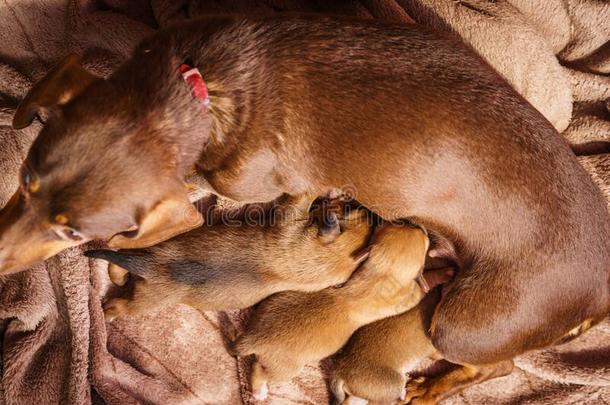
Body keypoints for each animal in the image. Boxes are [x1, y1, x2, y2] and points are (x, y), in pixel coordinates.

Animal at [85, 194, 370, 320]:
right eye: (350, 208)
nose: (369, 211)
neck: (323, 259)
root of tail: (153, 266)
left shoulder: (289, 220)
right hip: (159, 245)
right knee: (121, 255)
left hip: (145, 299)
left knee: (121, 299)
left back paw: (107, 312)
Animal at [232, 224, 428, 400]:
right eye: (423, 239)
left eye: (401, 224)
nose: (421, 227)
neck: (381, 275)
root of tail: (253, 338)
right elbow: (418, 293)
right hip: (285, 370)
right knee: (258, 372)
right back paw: (259, 393)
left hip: (266, 309)